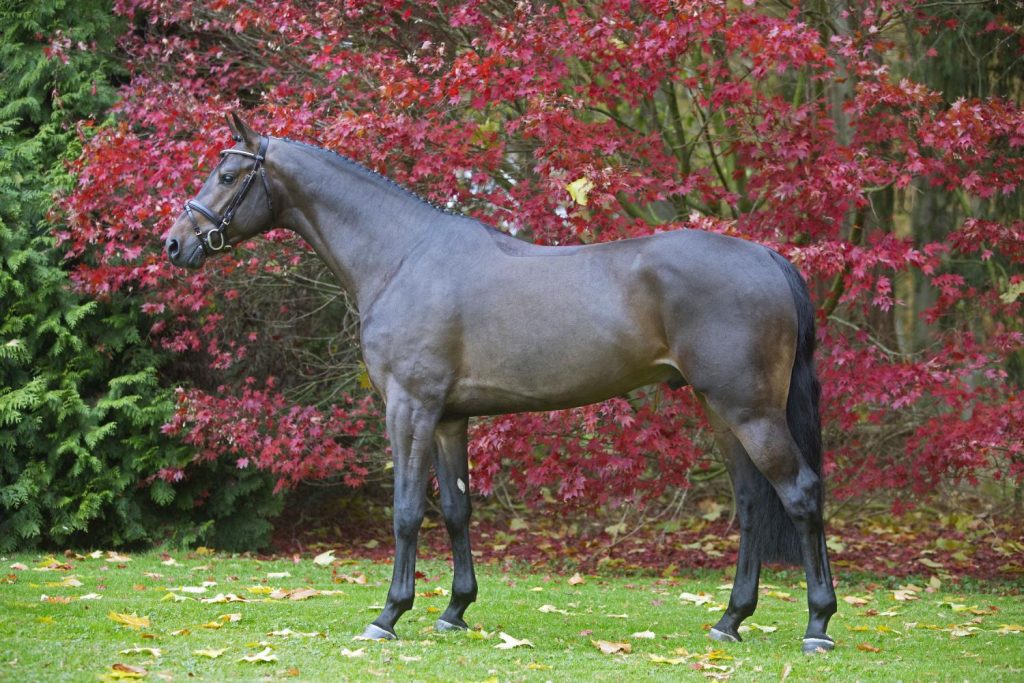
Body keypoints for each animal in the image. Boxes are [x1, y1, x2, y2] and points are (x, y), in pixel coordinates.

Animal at [165, 113, 837, 654]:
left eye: (228, 174)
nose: (174, 243)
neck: (403, 256)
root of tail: (767, 257)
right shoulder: (448, 418)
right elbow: (457, 509)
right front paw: (455, 611)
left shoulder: (408, 408)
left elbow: (406, 511)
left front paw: (389, 615)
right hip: (720, 412)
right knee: (752, 505)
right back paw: (730, 621)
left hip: (750, 411)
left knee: (801, 494)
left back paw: (817, 626)